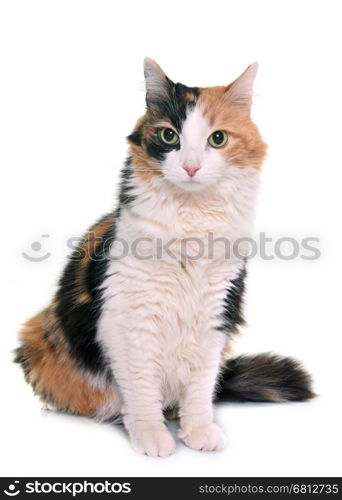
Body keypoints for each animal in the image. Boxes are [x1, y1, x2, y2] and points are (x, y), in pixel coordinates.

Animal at [14, 58, 312, 458]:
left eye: (218, 138)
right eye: (170, 136)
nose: (190, 167)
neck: (191, 223)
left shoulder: (215, 315)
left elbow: (200, 389)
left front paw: (198, 432)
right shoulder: (130, 320)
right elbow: (141, 388)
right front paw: (152, 435)